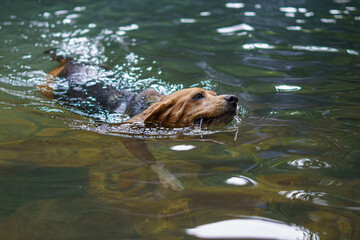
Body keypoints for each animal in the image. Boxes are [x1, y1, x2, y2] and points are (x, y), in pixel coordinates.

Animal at [39, 49, 238, 190]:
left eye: (214, 94)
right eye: (198, 96)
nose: (234, 98)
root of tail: (72, 61)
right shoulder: (131, 137)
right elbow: (154, 161)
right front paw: (168, 179)